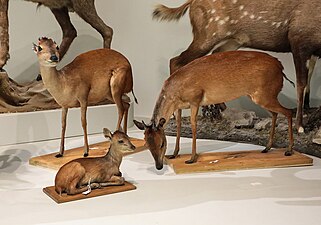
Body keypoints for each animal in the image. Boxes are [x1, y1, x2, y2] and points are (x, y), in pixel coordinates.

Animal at [134, 51, 294, 170]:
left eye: (162, 143)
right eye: (147, 144)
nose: (159, 166)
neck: (174, 91)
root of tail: (281, 67)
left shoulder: (195, 100)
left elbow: (193, 125)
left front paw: (192, 158)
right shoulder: (180, 107)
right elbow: (178, 126)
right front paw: (174, 154)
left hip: (264, 96)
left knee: (288, 112)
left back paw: (288, 150)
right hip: (261, 97)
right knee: (276, 113)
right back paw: (267, 148)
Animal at [151, 0, 320, 134]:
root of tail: (191, 3)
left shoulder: (314, 52)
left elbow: (308, 80)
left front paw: (307, 109)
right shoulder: (298, 41)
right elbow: (301, 83)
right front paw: (300, 126)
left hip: (232, 40)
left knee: (214, 56)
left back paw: (222, 107)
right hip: (206, 35)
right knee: (176, 60)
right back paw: (175, 115)